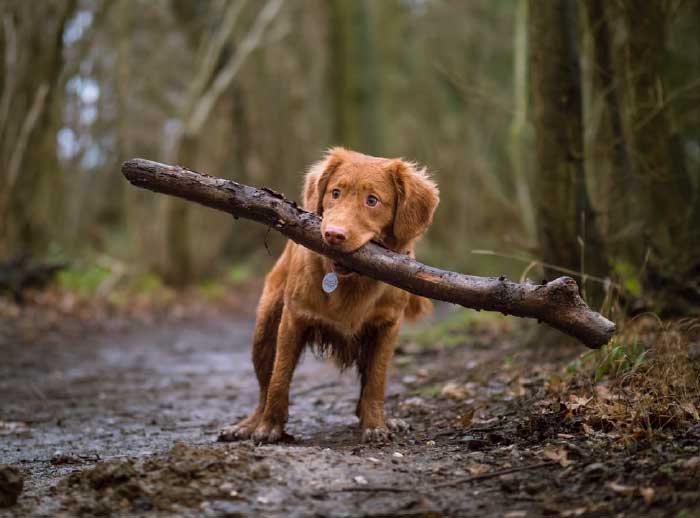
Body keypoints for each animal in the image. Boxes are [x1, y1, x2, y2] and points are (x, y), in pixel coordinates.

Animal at [219, 148, 438, 444]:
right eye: (335, 193)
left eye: (372, 200)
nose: (333, 234)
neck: (351, 281)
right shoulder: (293, 318)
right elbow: (279, 377)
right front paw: (269, 427)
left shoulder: (387, 326)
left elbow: (376, 381)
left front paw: (375, 425)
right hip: (265, 329)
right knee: (264, 386)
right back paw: (248, 424)